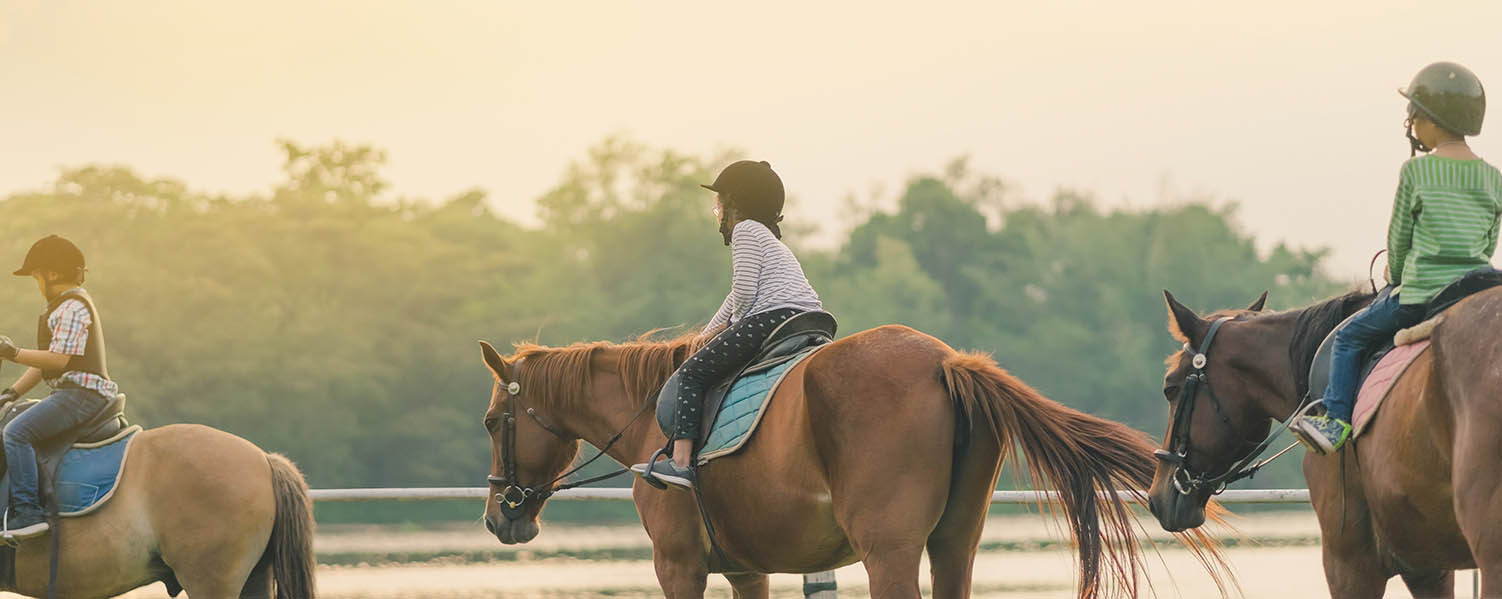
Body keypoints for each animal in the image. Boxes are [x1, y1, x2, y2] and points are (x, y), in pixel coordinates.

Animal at [480, 325, 1231, 597]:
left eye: (491, 422)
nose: (498, 518)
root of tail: (945, 362)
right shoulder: (747, 569)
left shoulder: (680, 566)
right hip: (953, 544)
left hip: (888, 551)